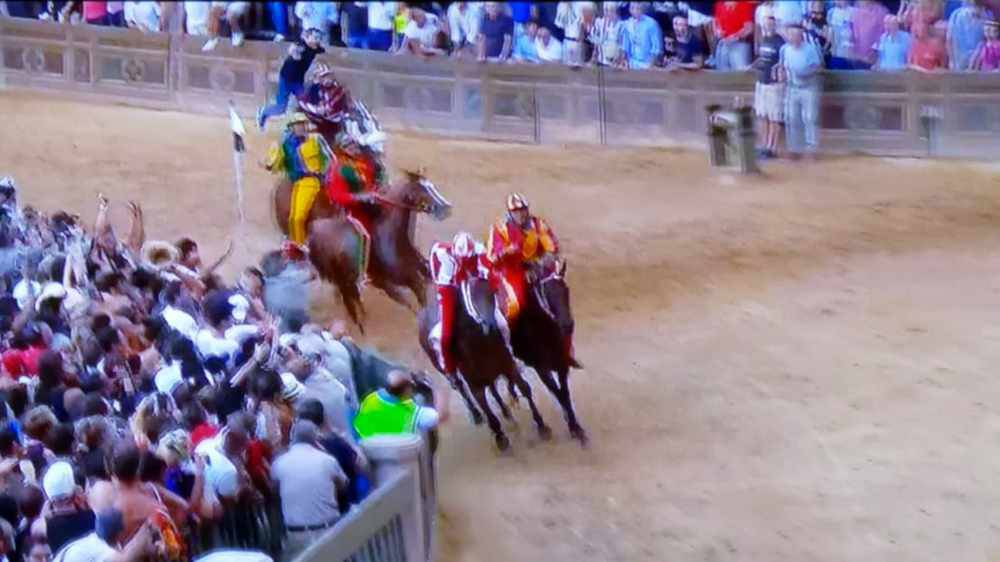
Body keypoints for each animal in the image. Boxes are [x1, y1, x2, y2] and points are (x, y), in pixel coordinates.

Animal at [270, 168, 450, 330]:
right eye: (423, 190)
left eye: (432, 186)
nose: (446, 207)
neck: (391, 235)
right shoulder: (388, 280)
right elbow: (413, 302)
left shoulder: (414, 272)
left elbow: (419, 296)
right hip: (343, 279)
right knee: (350, 302)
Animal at [416, 276, 552, 450]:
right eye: (471, 297)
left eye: (491, 294)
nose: (490, 325)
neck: (481, 345)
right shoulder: (475, 385)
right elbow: (487, 410)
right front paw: (500, 437)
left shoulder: (508, 367)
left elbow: (524, 388)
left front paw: (541, 426)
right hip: (445, 370)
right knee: (460, 387)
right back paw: (476, 414)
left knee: (493, 388)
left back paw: (505, 410)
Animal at [512, 260, 588, 446]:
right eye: (546, 293)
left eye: (566, 289)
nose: (568, 325)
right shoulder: (542, 368)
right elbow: (558, 392)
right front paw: (572, 425)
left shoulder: (562, 364)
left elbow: (565, 393)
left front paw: (576, 428)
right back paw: (540, 426)